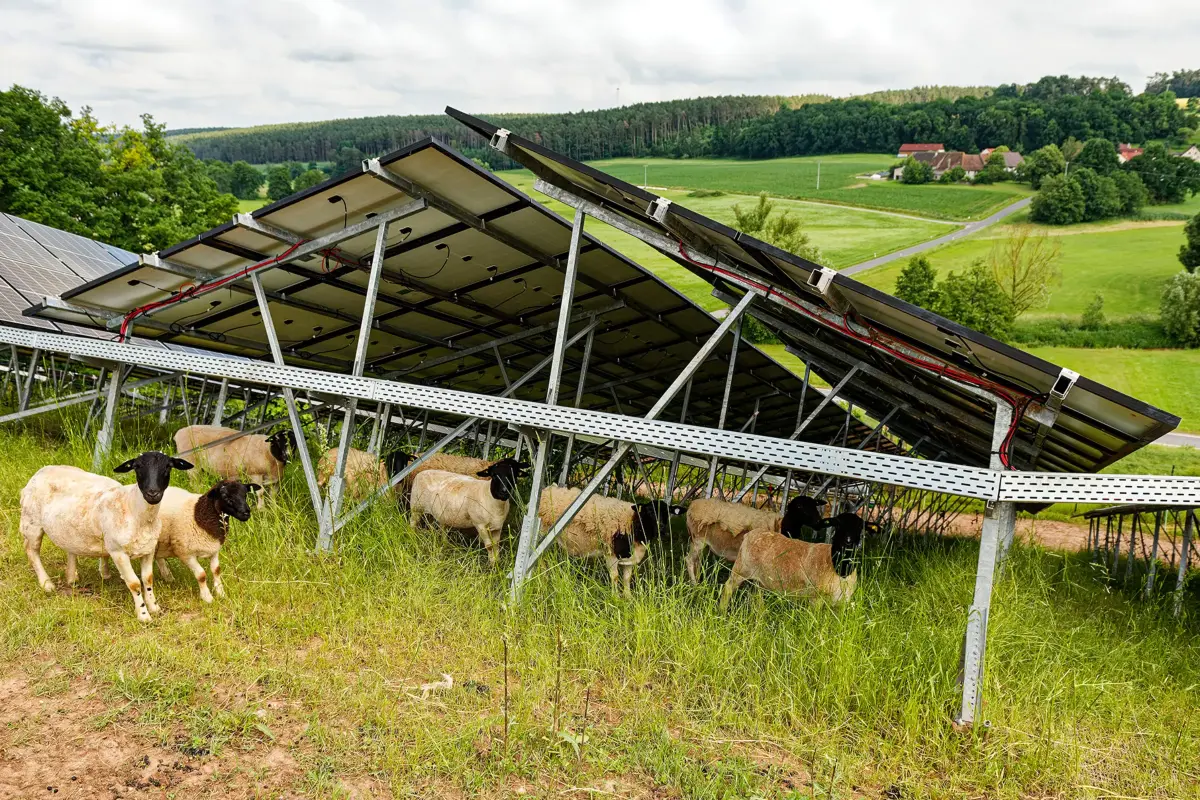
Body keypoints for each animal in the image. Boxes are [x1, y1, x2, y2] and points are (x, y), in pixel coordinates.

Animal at [16, 453, 193, 623]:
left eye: (168, 466)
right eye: (137, 467)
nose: (153, 493)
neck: (133, 508)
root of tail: (41, 471)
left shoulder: (148, 550)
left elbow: (148, 579)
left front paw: (155, 607)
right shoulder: (118, 552)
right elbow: (134, 583)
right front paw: (143, 615)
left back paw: (72, 578)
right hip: (31, 523)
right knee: (32, 551)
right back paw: (46, 584)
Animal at [537, 489, 681, 594]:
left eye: (667, 513)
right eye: (649, 512)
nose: (663, 530)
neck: (632, 522)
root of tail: (546, 491)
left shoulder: (629, 557)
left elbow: (627, 578)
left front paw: (628, 597)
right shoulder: (610, 553)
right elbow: (615, 576)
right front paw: (615, 596)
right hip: (542, 534)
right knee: (540, 557)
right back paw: (543, 577)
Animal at [715, 513, 868, 606]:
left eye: (860, 528)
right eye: (837, 525)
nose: (848, 542)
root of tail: (752, 532)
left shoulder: (842, 603)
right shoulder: (816, 599)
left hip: (760, 581)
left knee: (757, 598)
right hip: (740, 570)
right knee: (728, 588)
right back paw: (722, 611)